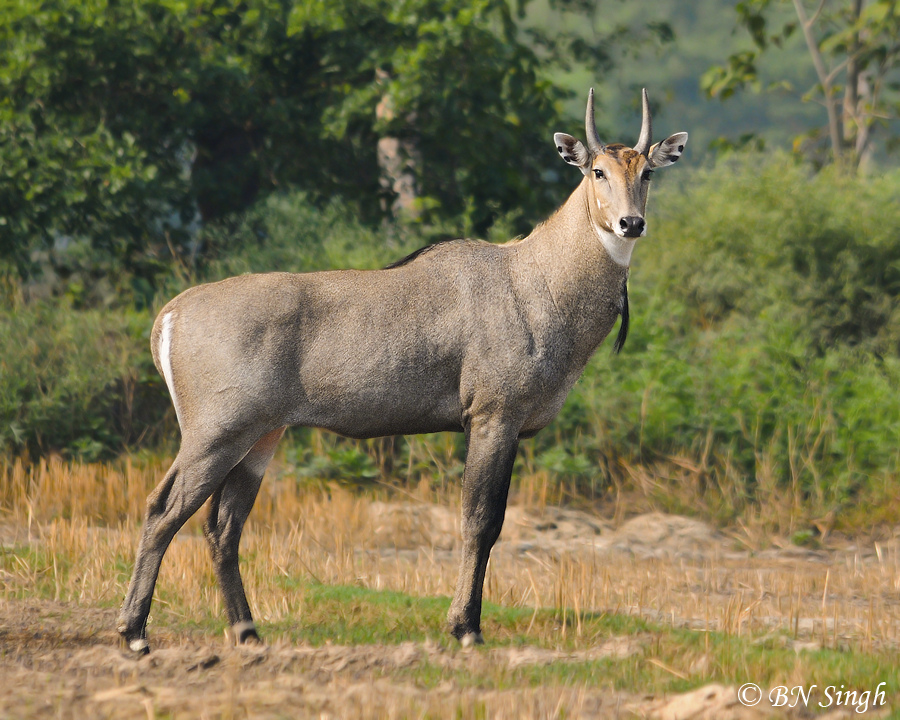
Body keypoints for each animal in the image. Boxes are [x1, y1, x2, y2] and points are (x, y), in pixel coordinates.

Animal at [117, 88, 687, 653]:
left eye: (647, 172)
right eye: (597, 171)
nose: (630, 223)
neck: (538, 280)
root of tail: (170, 315)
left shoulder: (507, 426)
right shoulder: (493, 416)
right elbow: (481, 521)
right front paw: (465, 627)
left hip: (260, 436)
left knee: (223, 526)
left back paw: (247, 632)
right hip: (216, 431)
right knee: (162, 509)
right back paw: (134, 631)